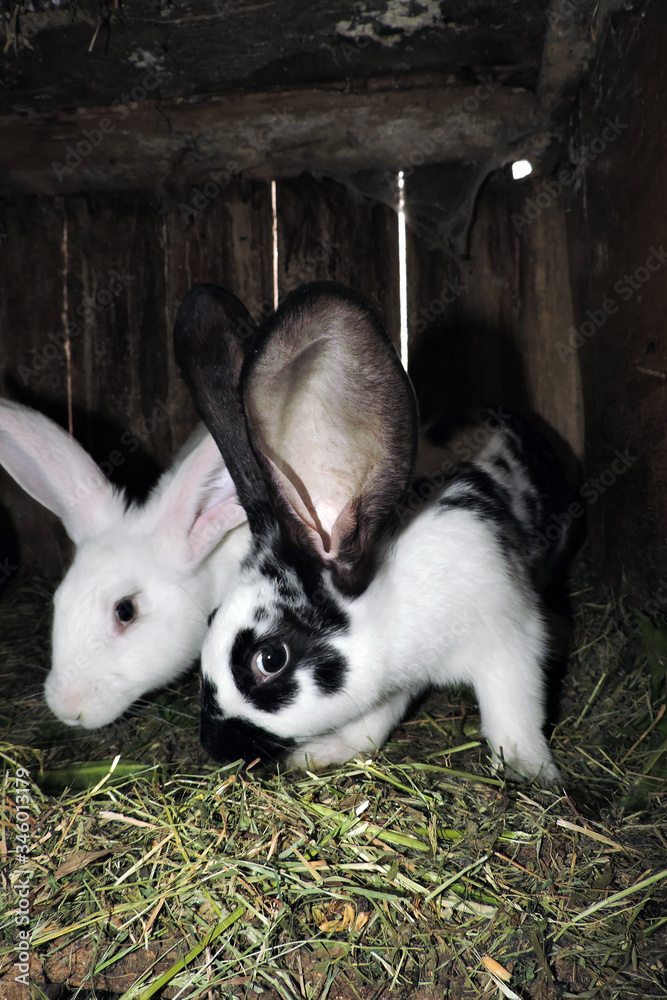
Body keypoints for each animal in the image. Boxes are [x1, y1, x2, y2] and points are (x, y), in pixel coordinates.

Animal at [173, 281, 574, 784]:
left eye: (269, 659)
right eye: (210, 618)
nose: (214, 747)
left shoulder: (509, 641)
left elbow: (513, 715)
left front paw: (531, 773)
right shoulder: (388, 684)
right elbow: (369, 725)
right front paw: (324, 752)